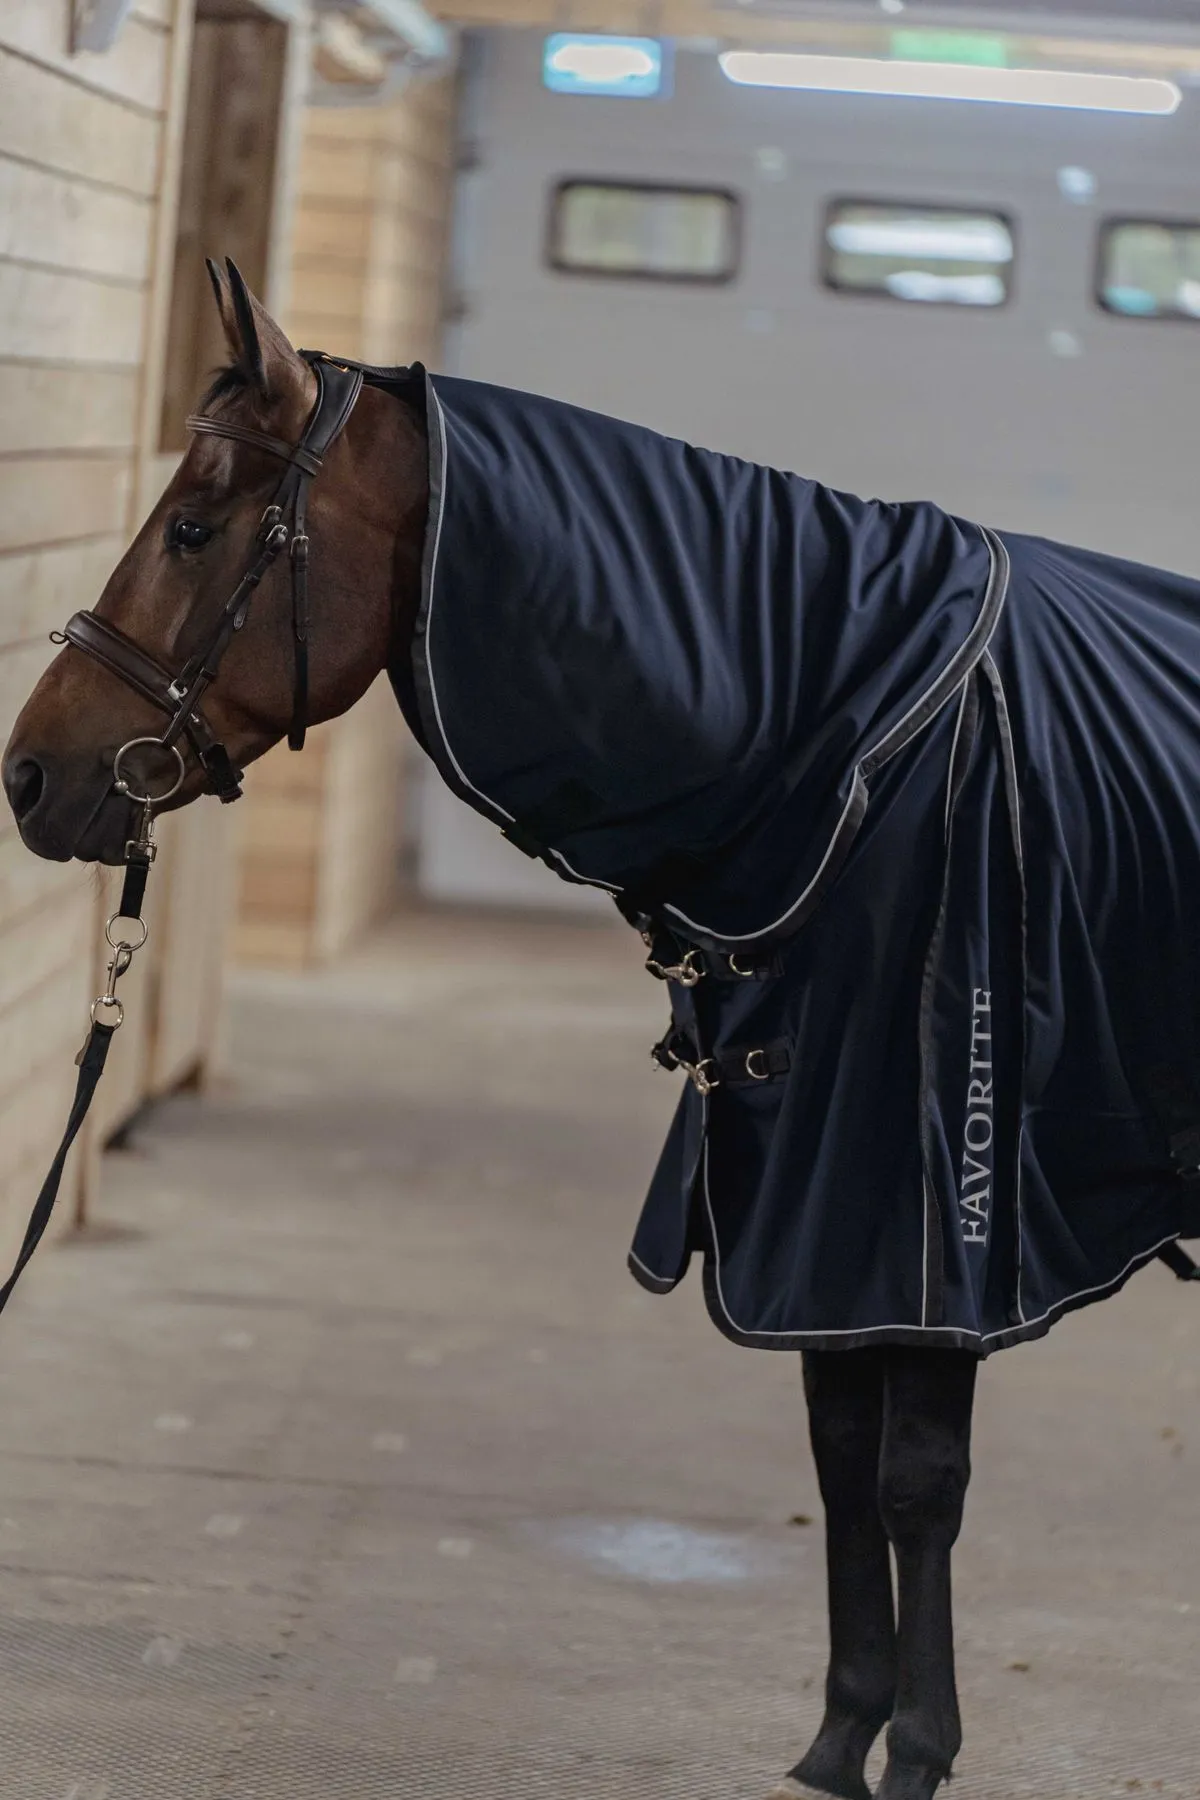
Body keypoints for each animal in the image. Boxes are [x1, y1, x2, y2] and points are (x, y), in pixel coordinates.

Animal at [6, 259, 1200, 1800]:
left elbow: (912, 1483)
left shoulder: (923, 1239)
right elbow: (837, 1455)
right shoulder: (801, 1208)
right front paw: (841, 1739)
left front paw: (920, 1752)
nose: (30, 776)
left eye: (197, 526)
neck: (858, 749)